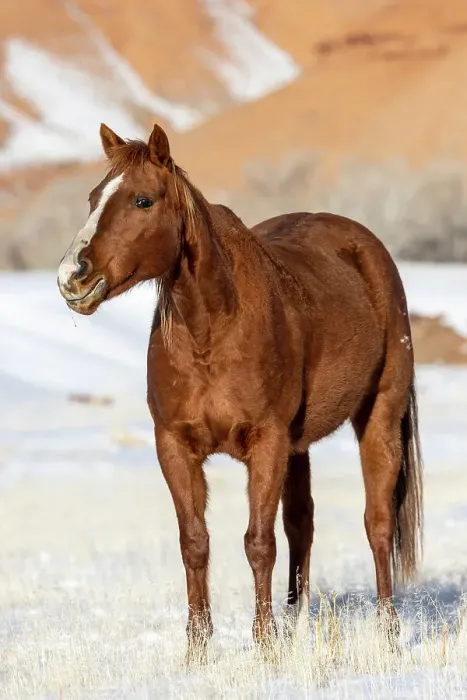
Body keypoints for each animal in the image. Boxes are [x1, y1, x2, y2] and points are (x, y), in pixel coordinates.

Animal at [57, 122, 423, 661]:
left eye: (142, 200)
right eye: (91, 198)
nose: (72, 277)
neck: (211, 330)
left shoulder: (266, 443)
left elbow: (258, 543)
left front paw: (265, 645)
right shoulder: (175, 445)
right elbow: (195, 542)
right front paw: (198, 650)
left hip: (378, 420)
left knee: (377, 524)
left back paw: (388, 634)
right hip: (299, 446)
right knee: (302, 525)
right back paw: (297, 624)